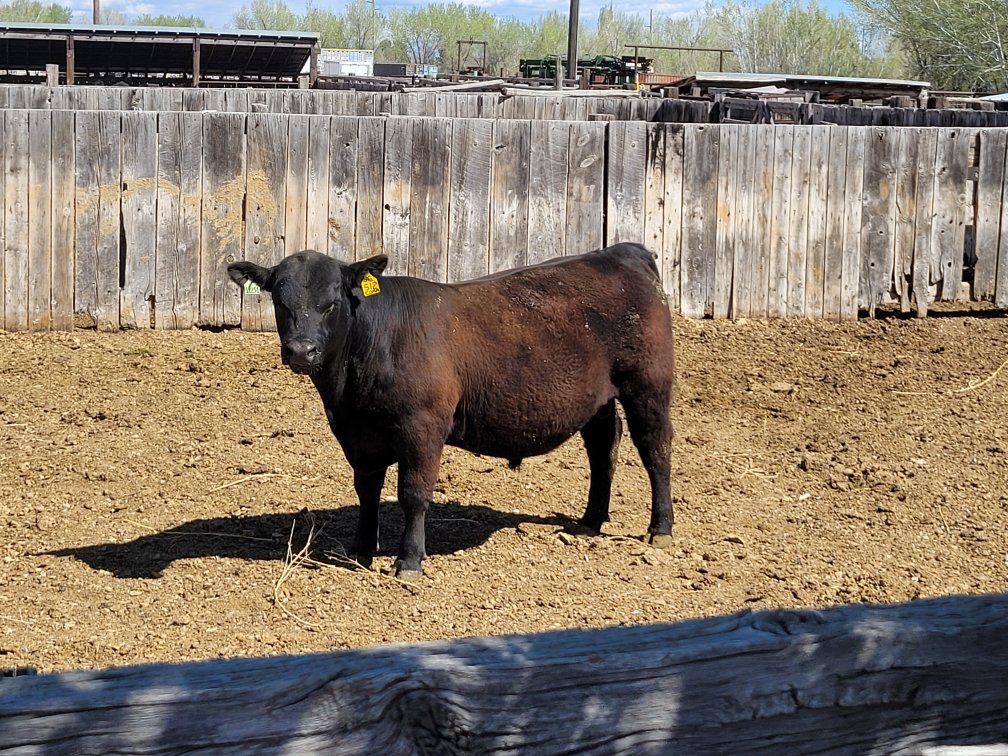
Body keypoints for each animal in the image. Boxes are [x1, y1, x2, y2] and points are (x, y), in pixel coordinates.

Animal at [227, 243, 675, 580]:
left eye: (332, 303)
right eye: (280, 301)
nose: (301, 351)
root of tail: (621, 251)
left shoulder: (423, 426)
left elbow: (413, 493)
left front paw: (409, 561)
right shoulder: (356, 433)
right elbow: (367, 491)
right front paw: (360, 550)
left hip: (648, 383)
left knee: (655, 449)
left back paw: (660, 528)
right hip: (597, 398)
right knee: (603, 449)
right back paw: (589, 521)